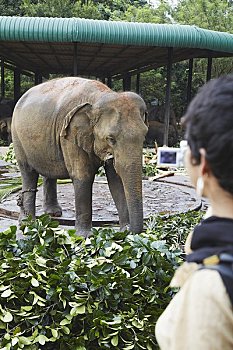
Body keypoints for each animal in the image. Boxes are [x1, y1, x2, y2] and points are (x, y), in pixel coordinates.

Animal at [11, 76, 147, 235]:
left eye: (144, 136)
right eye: (111, 139)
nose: (134, 231)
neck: (98, 97)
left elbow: (115, 179)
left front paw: (124, 231)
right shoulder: (68, 135)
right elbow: (83, 176)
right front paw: (84, 235)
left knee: (48, 173)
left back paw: (53, 213)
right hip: (17, 138)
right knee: (28, 173)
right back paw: (28, 224)